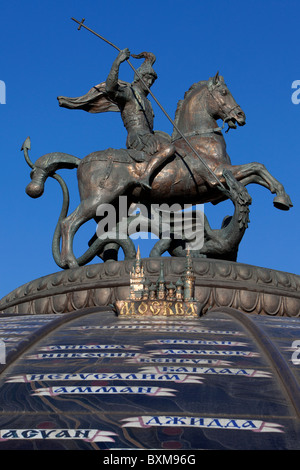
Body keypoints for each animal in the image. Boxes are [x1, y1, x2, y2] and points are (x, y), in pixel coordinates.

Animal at [24, 70, 292, 268]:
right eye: (224, 92)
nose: (240, 115)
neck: (198, 140)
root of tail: (81, 161)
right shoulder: (217, 176)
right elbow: (257, 167)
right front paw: (281, 197)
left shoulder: (220, 185)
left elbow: (256, 173)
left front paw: (281, 197)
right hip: (98, 199)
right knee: (69, 224)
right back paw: (71, 263)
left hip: (114, 208)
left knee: (100, 237)